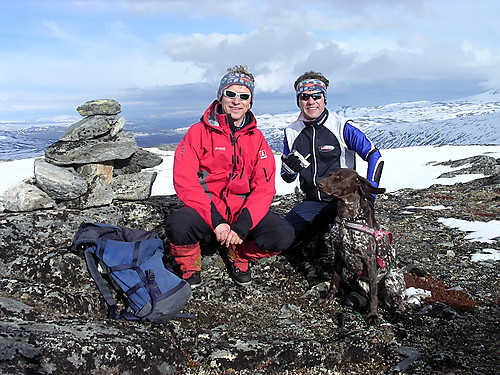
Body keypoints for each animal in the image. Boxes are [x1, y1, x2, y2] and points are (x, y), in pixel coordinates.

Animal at [318, 169, 404, 324]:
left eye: (340, 177)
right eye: (331, 174)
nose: (318, 183)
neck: (347, 219)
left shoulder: (369, 259)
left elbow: (374, 293)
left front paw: (373, 315)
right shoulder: (338, 254)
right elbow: (334, 282)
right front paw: (327, 301)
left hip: (391, 281)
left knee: (399, 302)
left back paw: (397, 312)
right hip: (359, 281)